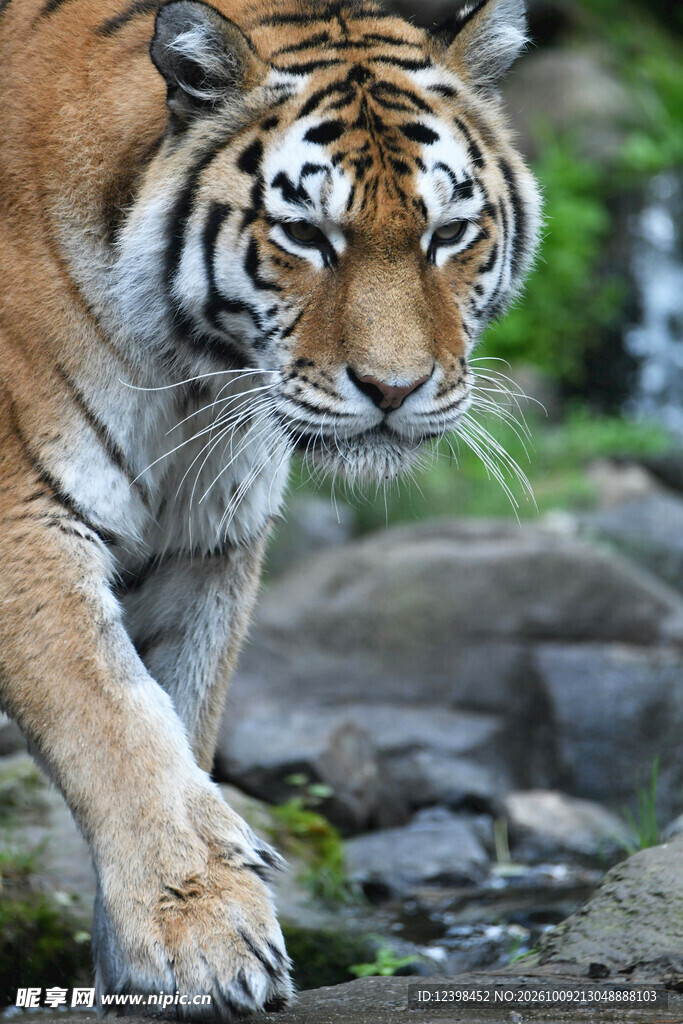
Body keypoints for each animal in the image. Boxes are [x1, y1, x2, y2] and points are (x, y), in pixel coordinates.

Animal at [0, 0, 541, 1015]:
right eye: (305, 235)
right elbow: (116, 723)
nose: (393, 389)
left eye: (449, 233)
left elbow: (179, 720)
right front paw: (207, 936)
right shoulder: (25, 515)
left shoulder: (205, 543)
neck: (189, 375)